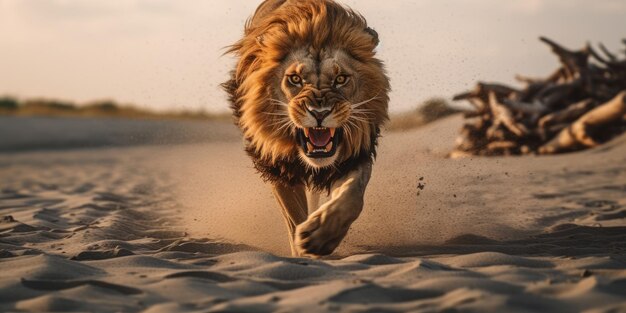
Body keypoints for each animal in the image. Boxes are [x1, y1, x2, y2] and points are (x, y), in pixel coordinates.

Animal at [224, 0, 388, 256]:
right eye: (295, 79)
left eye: (341, 79)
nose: (319, 113)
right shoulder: (277, 167)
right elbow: (294, 217)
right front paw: (302, 251)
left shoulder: (355, 153)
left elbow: (352, 197)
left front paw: (320, 236)